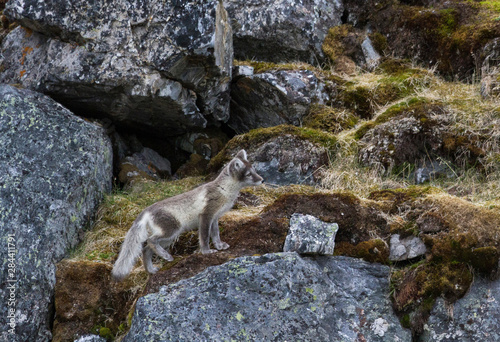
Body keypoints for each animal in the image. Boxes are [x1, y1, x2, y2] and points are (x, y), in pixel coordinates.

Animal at [112, 150, 264, 280]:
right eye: (248, 174)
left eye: (254, 170)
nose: (262, 180)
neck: (224, 191)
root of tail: (146, 210)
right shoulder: (206, 215)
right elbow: (204, 237)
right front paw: (206, 252)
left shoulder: (215, 218)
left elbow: (215, 235)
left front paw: (220, 246)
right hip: (171, 229)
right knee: (150, 241)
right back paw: (166, 257)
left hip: (169, 237)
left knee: (145, 249)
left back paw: (152, 270)